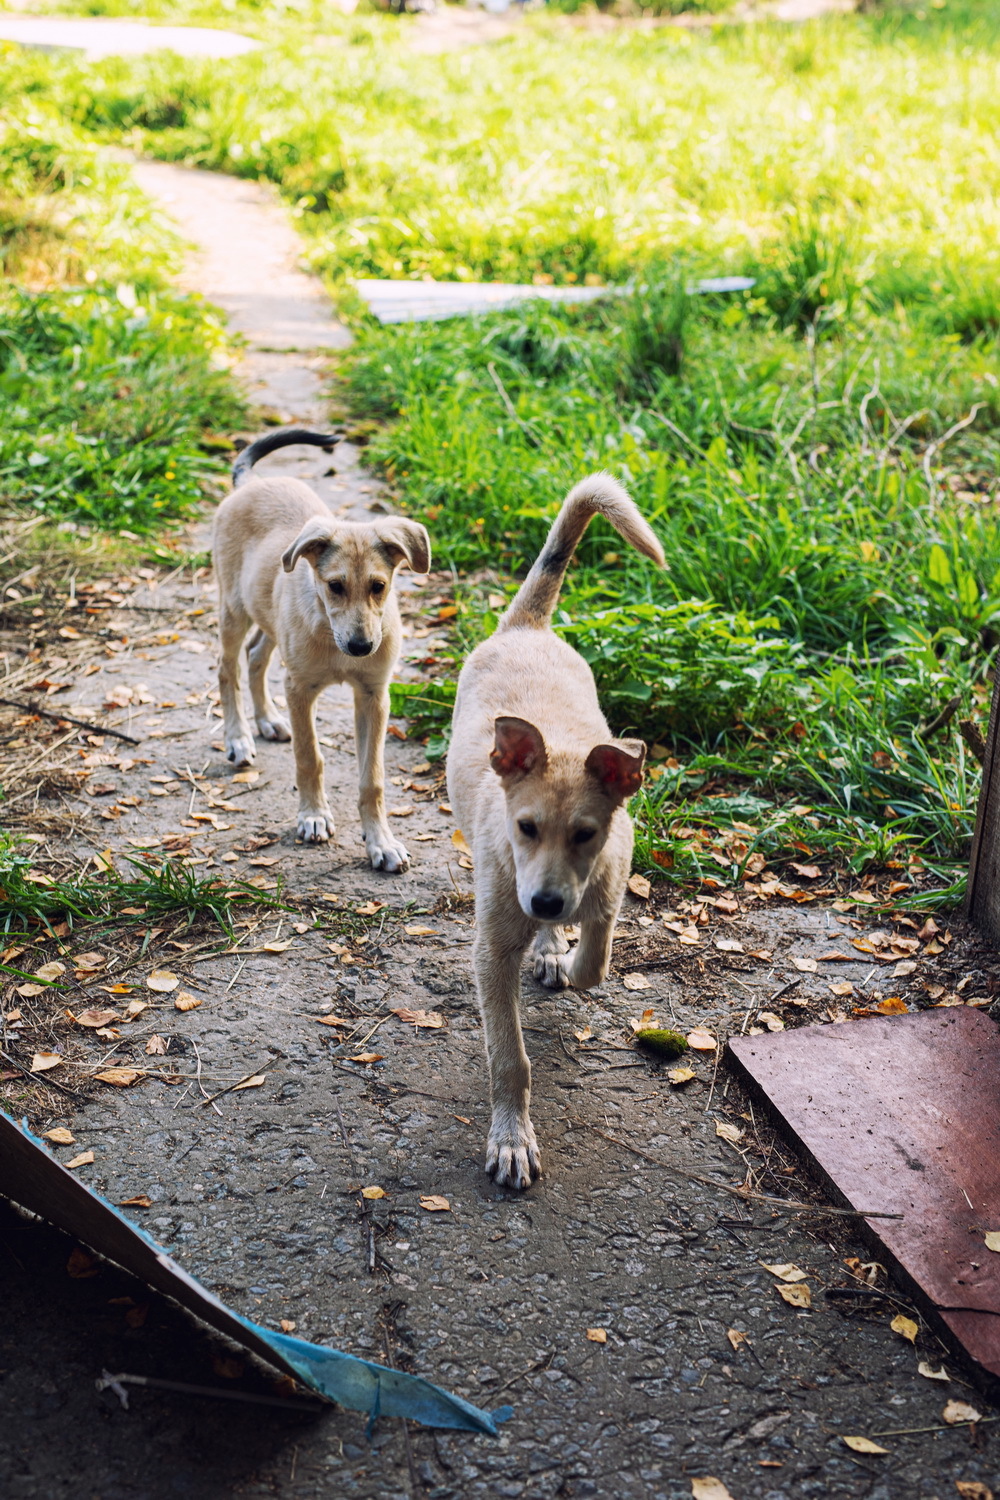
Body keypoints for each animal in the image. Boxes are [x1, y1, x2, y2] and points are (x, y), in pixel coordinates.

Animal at [211, 429, 431, 876]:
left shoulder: (373, 697)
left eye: (379, 587)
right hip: (234, 609)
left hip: (269, 617)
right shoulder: (300, 689)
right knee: (228, 668)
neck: (334, 641)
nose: (362, 647)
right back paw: (239, 737)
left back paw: (268, 720)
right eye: (334, 587)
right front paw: (313, 816)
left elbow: (371, 778)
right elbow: (309, 757)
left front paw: (381, 841)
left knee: (256, 655)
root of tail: (250, 484)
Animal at [446, 474, 665, 1188]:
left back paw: (550, 947)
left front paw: (565, 956)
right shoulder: (491, 951)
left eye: (586, 836)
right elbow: (508, 1057)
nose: (544, 901)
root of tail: (527, 627)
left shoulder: (610, 879)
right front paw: (511, 1139)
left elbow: (595, 958)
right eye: (525, 827)